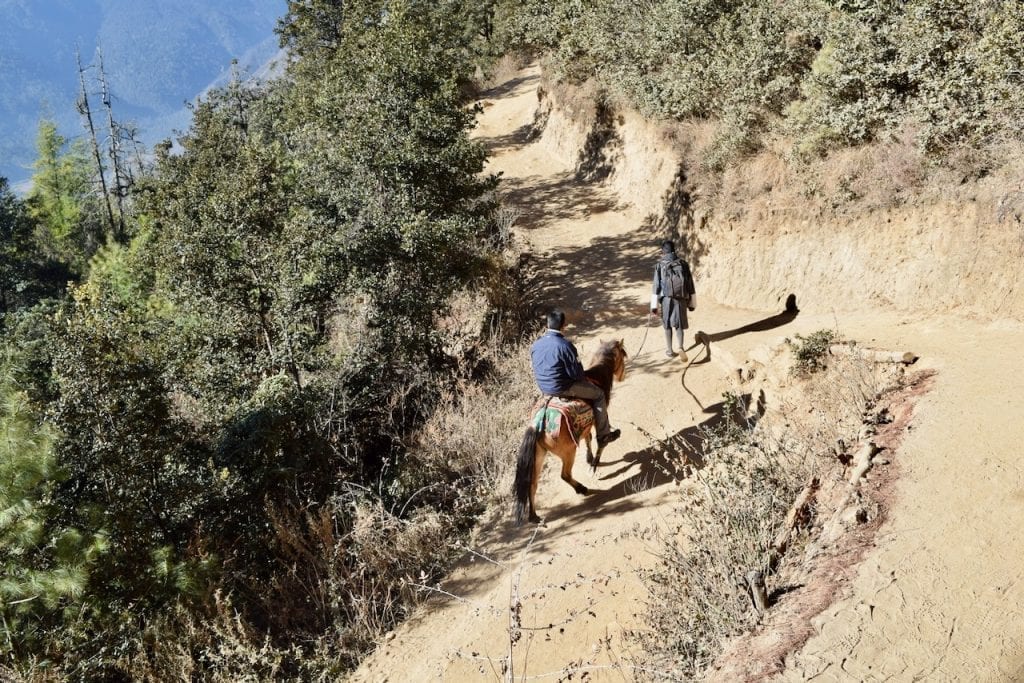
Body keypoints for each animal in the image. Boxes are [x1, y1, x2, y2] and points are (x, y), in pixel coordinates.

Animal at [509, 339, 622, 528]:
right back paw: (581, 489)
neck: (597, 378)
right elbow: (600, 441)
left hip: (539, 456)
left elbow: (588, 439)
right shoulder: (599, 415)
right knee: (565, 475)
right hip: (568, 452)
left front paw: (590, 459)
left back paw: (534, 516)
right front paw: (594, 463)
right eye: (622, 355)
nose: (622, 376)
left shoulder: (585, 427)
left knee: (532, 485)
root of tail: (537, 424)